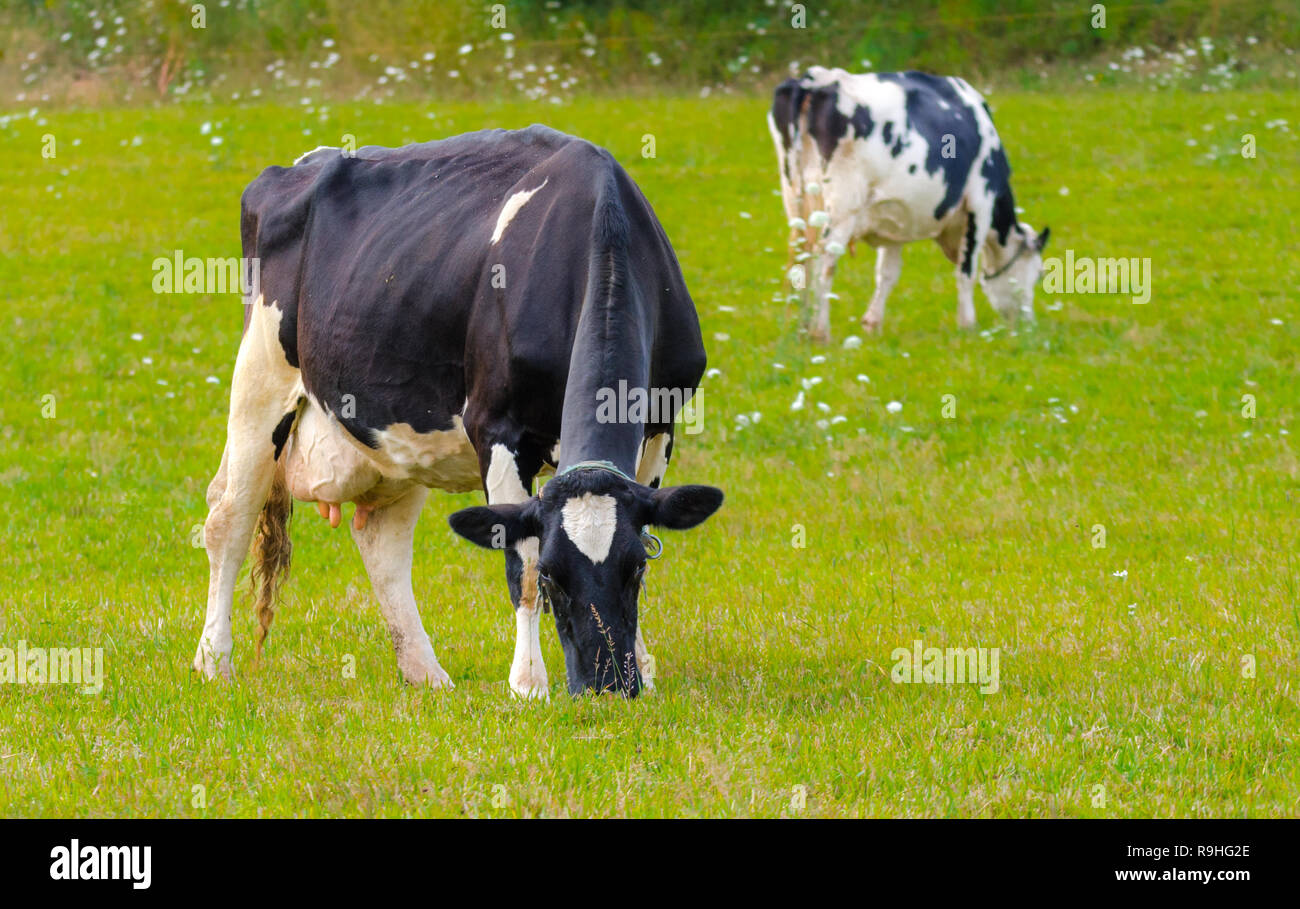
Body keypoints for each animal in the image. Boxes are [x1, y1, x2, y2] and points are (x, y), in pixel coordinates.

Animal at [192, 124, 722, 702]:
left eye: (636, 571)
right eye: (555, 576)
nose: (606, 686)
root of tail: (299, 165)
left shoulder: (660, 426)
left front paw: (644, 667)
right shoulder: (498, 427)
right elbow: (521, 565)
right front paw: (528, 684)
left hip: (397, 434)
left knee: (382, 543)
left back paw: (425, 673)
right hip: (261, 375)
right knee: (228, 517)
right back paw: (213, 662)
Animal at [769, 65, 1045, 340]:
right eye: (1038, 274)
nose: (1029, 324)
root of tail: (816, 80)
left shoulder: (894, 219)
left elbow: (887, 273)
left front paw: (872, 323)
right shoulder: (980, 202)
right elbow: (966, 270)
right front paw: (968, 324)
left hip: (796, 199)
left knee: (803, 256)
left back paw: (802, 328)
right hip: (842, 207)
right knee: (825, 261)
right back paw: (820, 332)